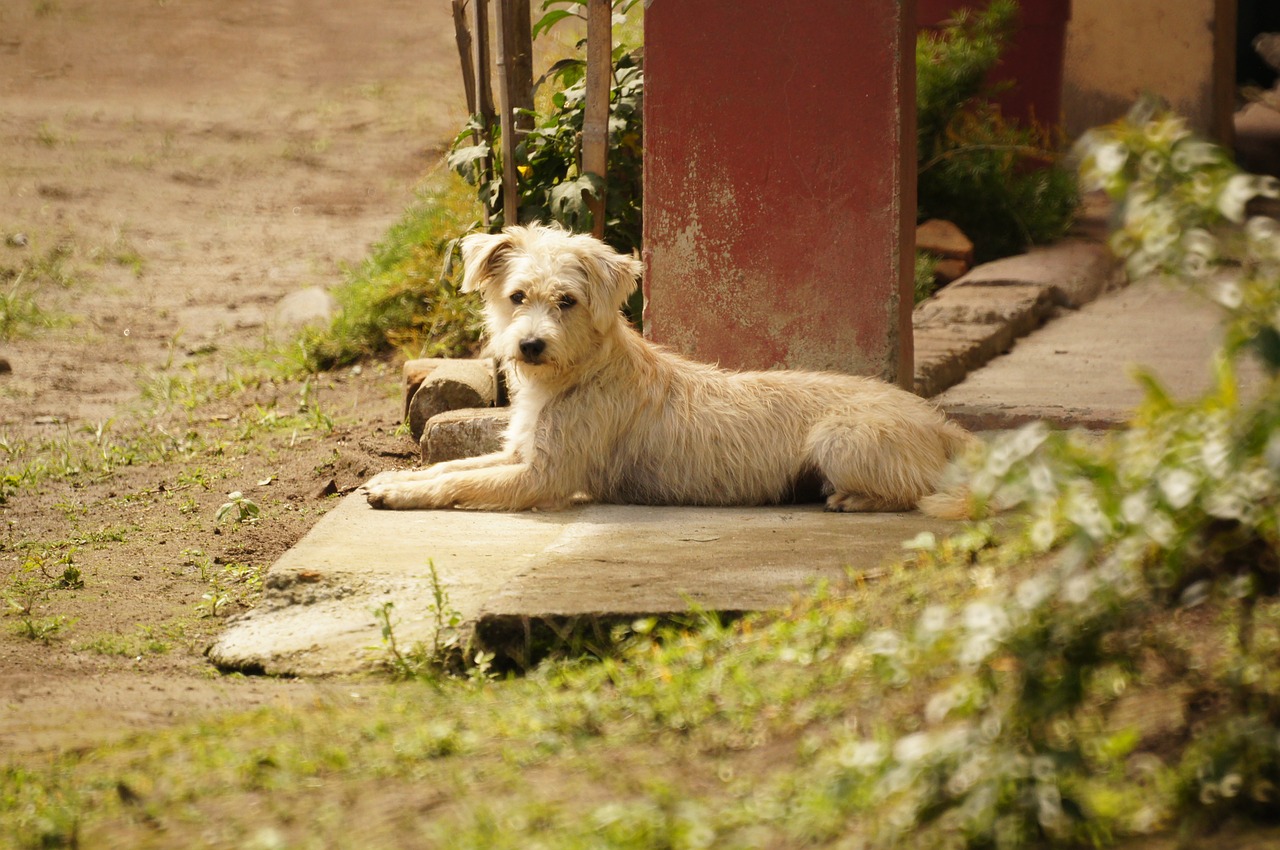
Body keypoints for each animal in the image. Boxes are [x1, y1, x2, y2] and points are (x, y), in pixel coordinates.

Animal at [366, 222, 972, 514]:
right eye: (517, 296)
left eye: (567, 301)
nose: (531, 345)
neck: (579, 374)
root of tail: (938, 422)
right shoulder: (519, 453)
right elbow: (451, 466)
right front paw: (395, 479)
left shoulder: (544, 476)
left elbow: (458, 484)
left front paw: (401, 496)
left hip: (840, 439)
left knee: (916, 490)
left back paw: (856, 498)